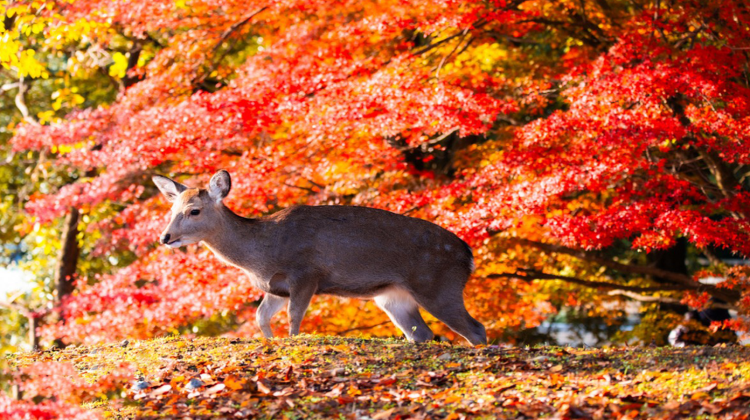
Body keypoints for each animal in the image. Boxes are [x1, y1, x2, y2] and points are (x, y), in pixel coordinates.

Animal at [152, 170, 487, 345]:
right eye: (172, 209)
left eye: (194, 211)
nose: (165, 237)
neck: (261, 253)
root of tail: (467, 254)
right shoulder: (276, 287)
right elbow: (261, 316)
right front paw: (270, 342)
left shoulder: (306, 273)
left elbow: (294, 317)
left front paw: (289, 342)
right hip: (394, 297)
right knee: (424, 334)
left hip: (438, 284)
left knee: (475, 328)